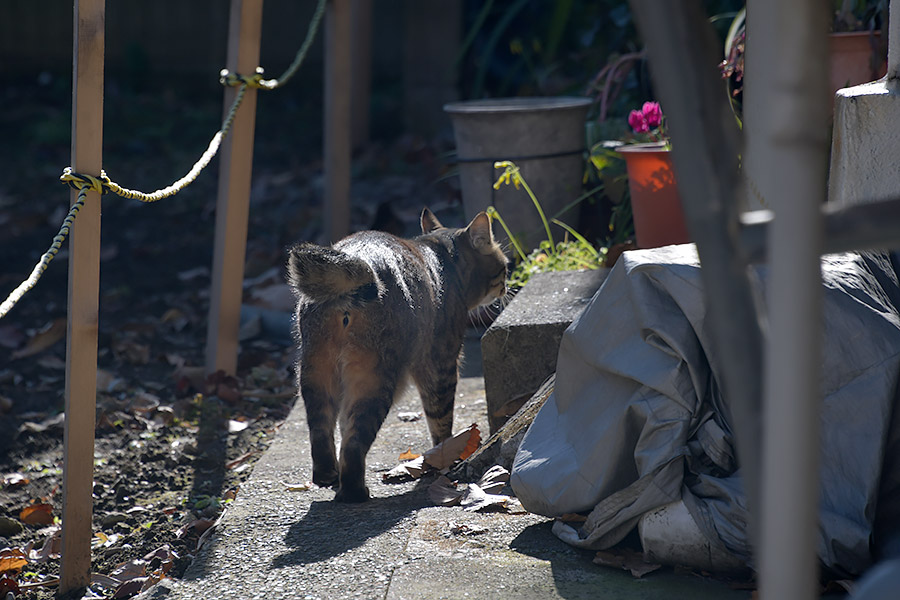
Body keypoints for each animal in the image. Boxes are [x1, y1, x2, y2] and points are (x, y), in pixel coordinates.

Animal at [288, 209, 506, 500]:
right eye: (504, 267)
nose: (506, 286)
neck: (441, 256)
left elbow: (343, 425)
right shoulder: (440, 365)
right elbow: (441, 422)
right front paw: (445, 457)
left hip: (316, 374)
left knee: (322, 433)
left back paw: (329, 477)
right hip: (374, 380)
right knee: (354, 444)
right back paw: (354, 493)